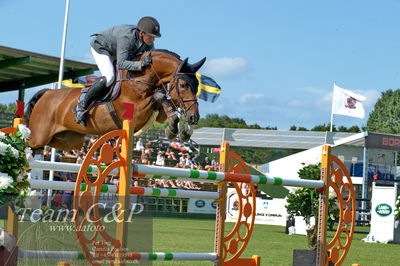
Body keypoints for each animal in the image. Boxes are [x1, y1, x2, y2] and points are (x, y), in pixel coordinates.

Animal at [25, 49, 206, 150]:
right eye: (183, 85)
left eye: (197, 86)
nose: (194, 117)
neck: (139, 78)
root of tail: (47, 93)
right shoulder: (137, 110)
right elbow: (158, 97)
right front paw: (176, 129)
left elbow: (166, 104)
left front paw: (181, 131)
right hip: (39, 136)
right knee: (27, 144)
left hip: (65, 141)